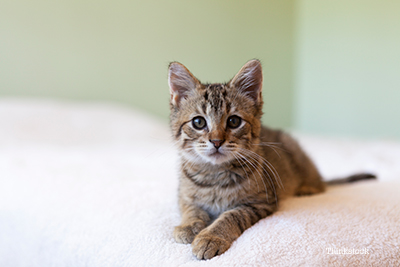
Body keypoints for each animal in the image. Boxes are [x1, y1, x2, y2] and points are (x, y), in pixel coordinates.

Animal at [167, 59, 374, 260]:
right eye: (198, 122)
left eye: (234, 121)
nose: (216, 141)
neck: (214, 174)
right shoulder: (183, 195)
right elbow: (191, 209)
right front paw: (188, 225)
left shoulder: (261, 202)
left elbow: (232, 215)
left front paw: (211, 236)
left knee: (320, 183)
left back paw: (307, 188)